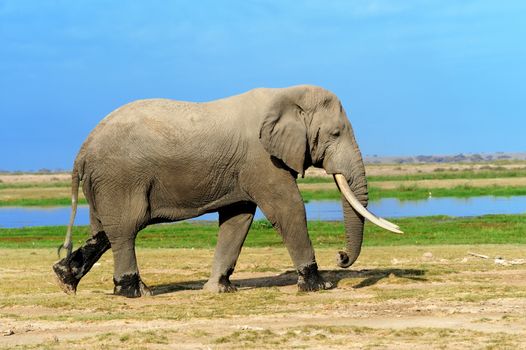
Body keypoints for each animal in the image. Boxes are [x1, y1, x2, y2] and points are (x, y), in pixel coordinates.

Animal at [53, 85, 402, 298]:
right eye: (335, 133)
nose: (341, 256)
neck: (284, 94)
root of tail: (83, 148)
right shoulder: (261, 159)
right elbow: (288, 207)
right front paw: (319, 286)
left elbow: (238, 218)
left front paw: (219, 289)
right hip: (120, 178)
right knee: (125, 230)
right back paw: (136, 293)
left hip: (105, 183)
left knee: (105, 231)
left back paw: (64, 278)